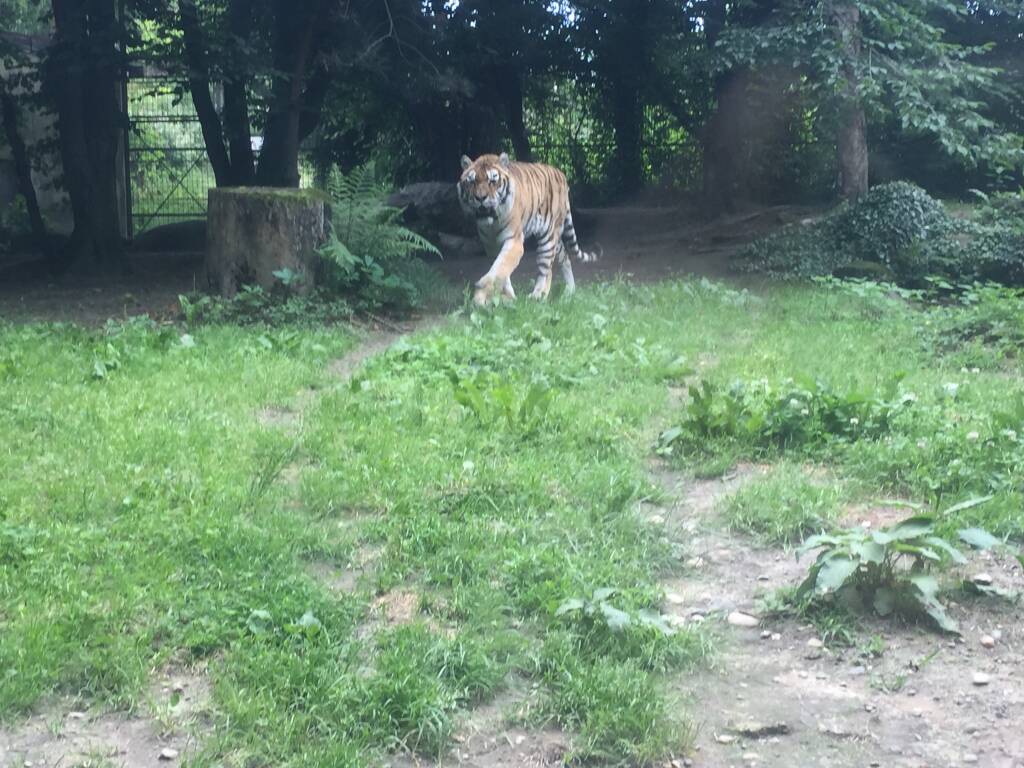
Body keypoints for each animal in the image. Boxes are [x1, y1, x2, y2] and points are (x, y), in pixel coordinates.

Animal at [457, 153, 597, 306]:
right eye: (471, 182)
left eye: (492, 181)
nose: (480, 198)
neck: (492, 224)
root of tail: (562, 174)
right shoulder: (491, 246)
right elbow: (501, 270)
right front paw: (508, 297)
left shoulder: (514, 241)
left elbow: (501, 267)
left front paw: (481, 296)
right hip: (555, 236)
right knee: (564, 256)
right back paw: (569, 291)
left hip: (548, 238)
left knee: (546, 270)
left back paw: (538, 295)